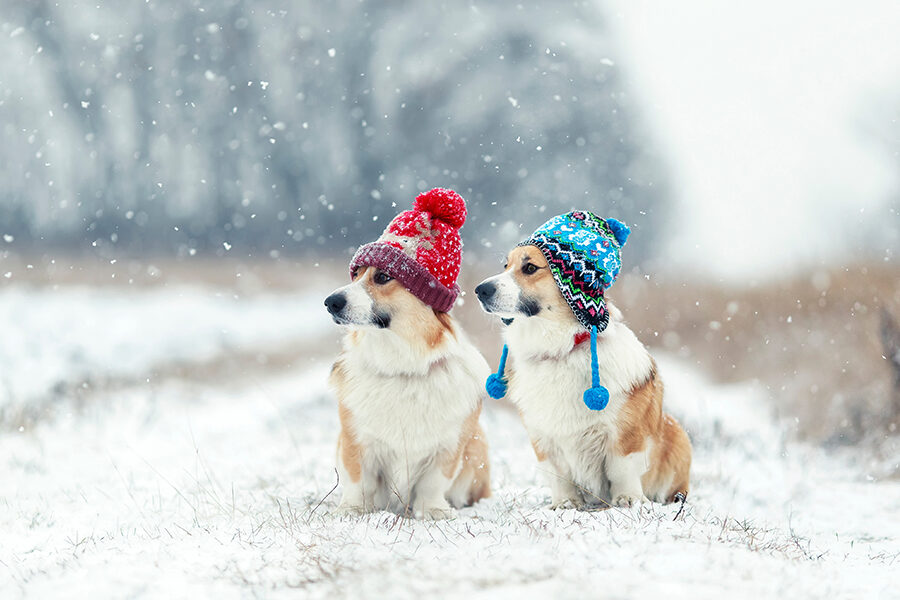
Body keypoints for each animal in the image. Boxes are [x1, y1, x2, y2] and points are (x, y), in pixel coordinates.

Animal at [326, 190, 492, 516]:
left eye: (382, 277)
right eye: (357, 274)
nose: (330, 302)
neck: (403, 365)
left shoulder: (449, 445)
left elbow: (433, 483)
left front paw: (433, 512)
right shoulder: (355, 440)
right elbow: (358, 480)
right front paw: (351, 509)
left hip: (478, 442)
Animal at [474, 211, 692, 510]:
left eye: (529, 268)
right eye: (505, 265)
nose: (479, 290)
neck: (562, 348)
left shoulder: (625, 434)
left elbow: (622, 468)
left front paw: (628, 499)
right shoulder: (544, 438)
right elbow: (559, 474)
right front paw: (565, 503)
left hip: (678, 434)